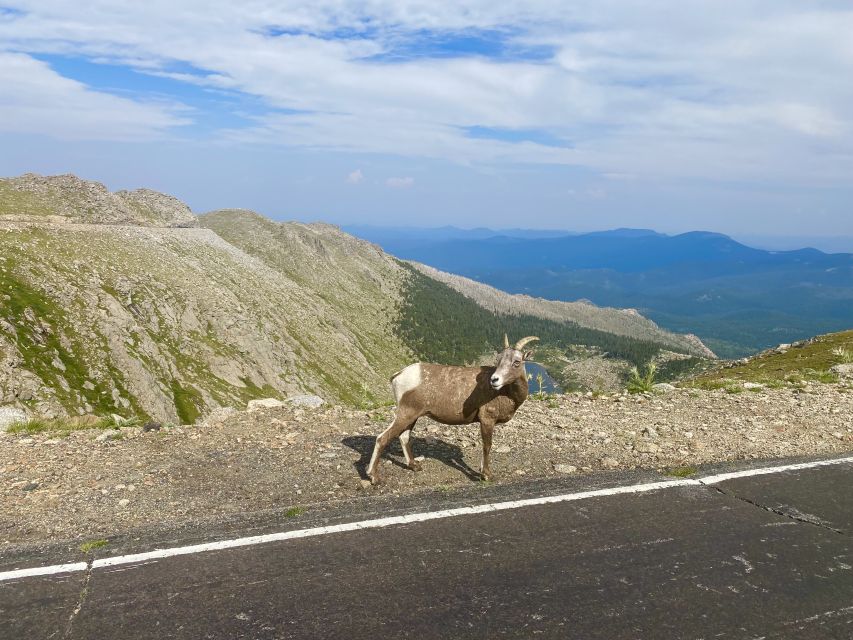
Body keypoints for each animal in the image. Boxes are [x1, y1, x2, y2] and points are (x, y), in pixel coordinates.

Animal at [366, 336, 540, 484]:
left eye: (516, 362)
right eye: (498, 360)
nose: (494, 380)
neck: (506, 393)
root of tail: (399, 376)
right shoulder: (487, 420)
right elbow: (487, 445)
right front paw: (486, 475)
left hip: (412, 416)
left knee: (403, 437)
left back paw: (414, 466)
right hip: (406, 413)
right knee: (382, 438)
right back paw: (374, 477)